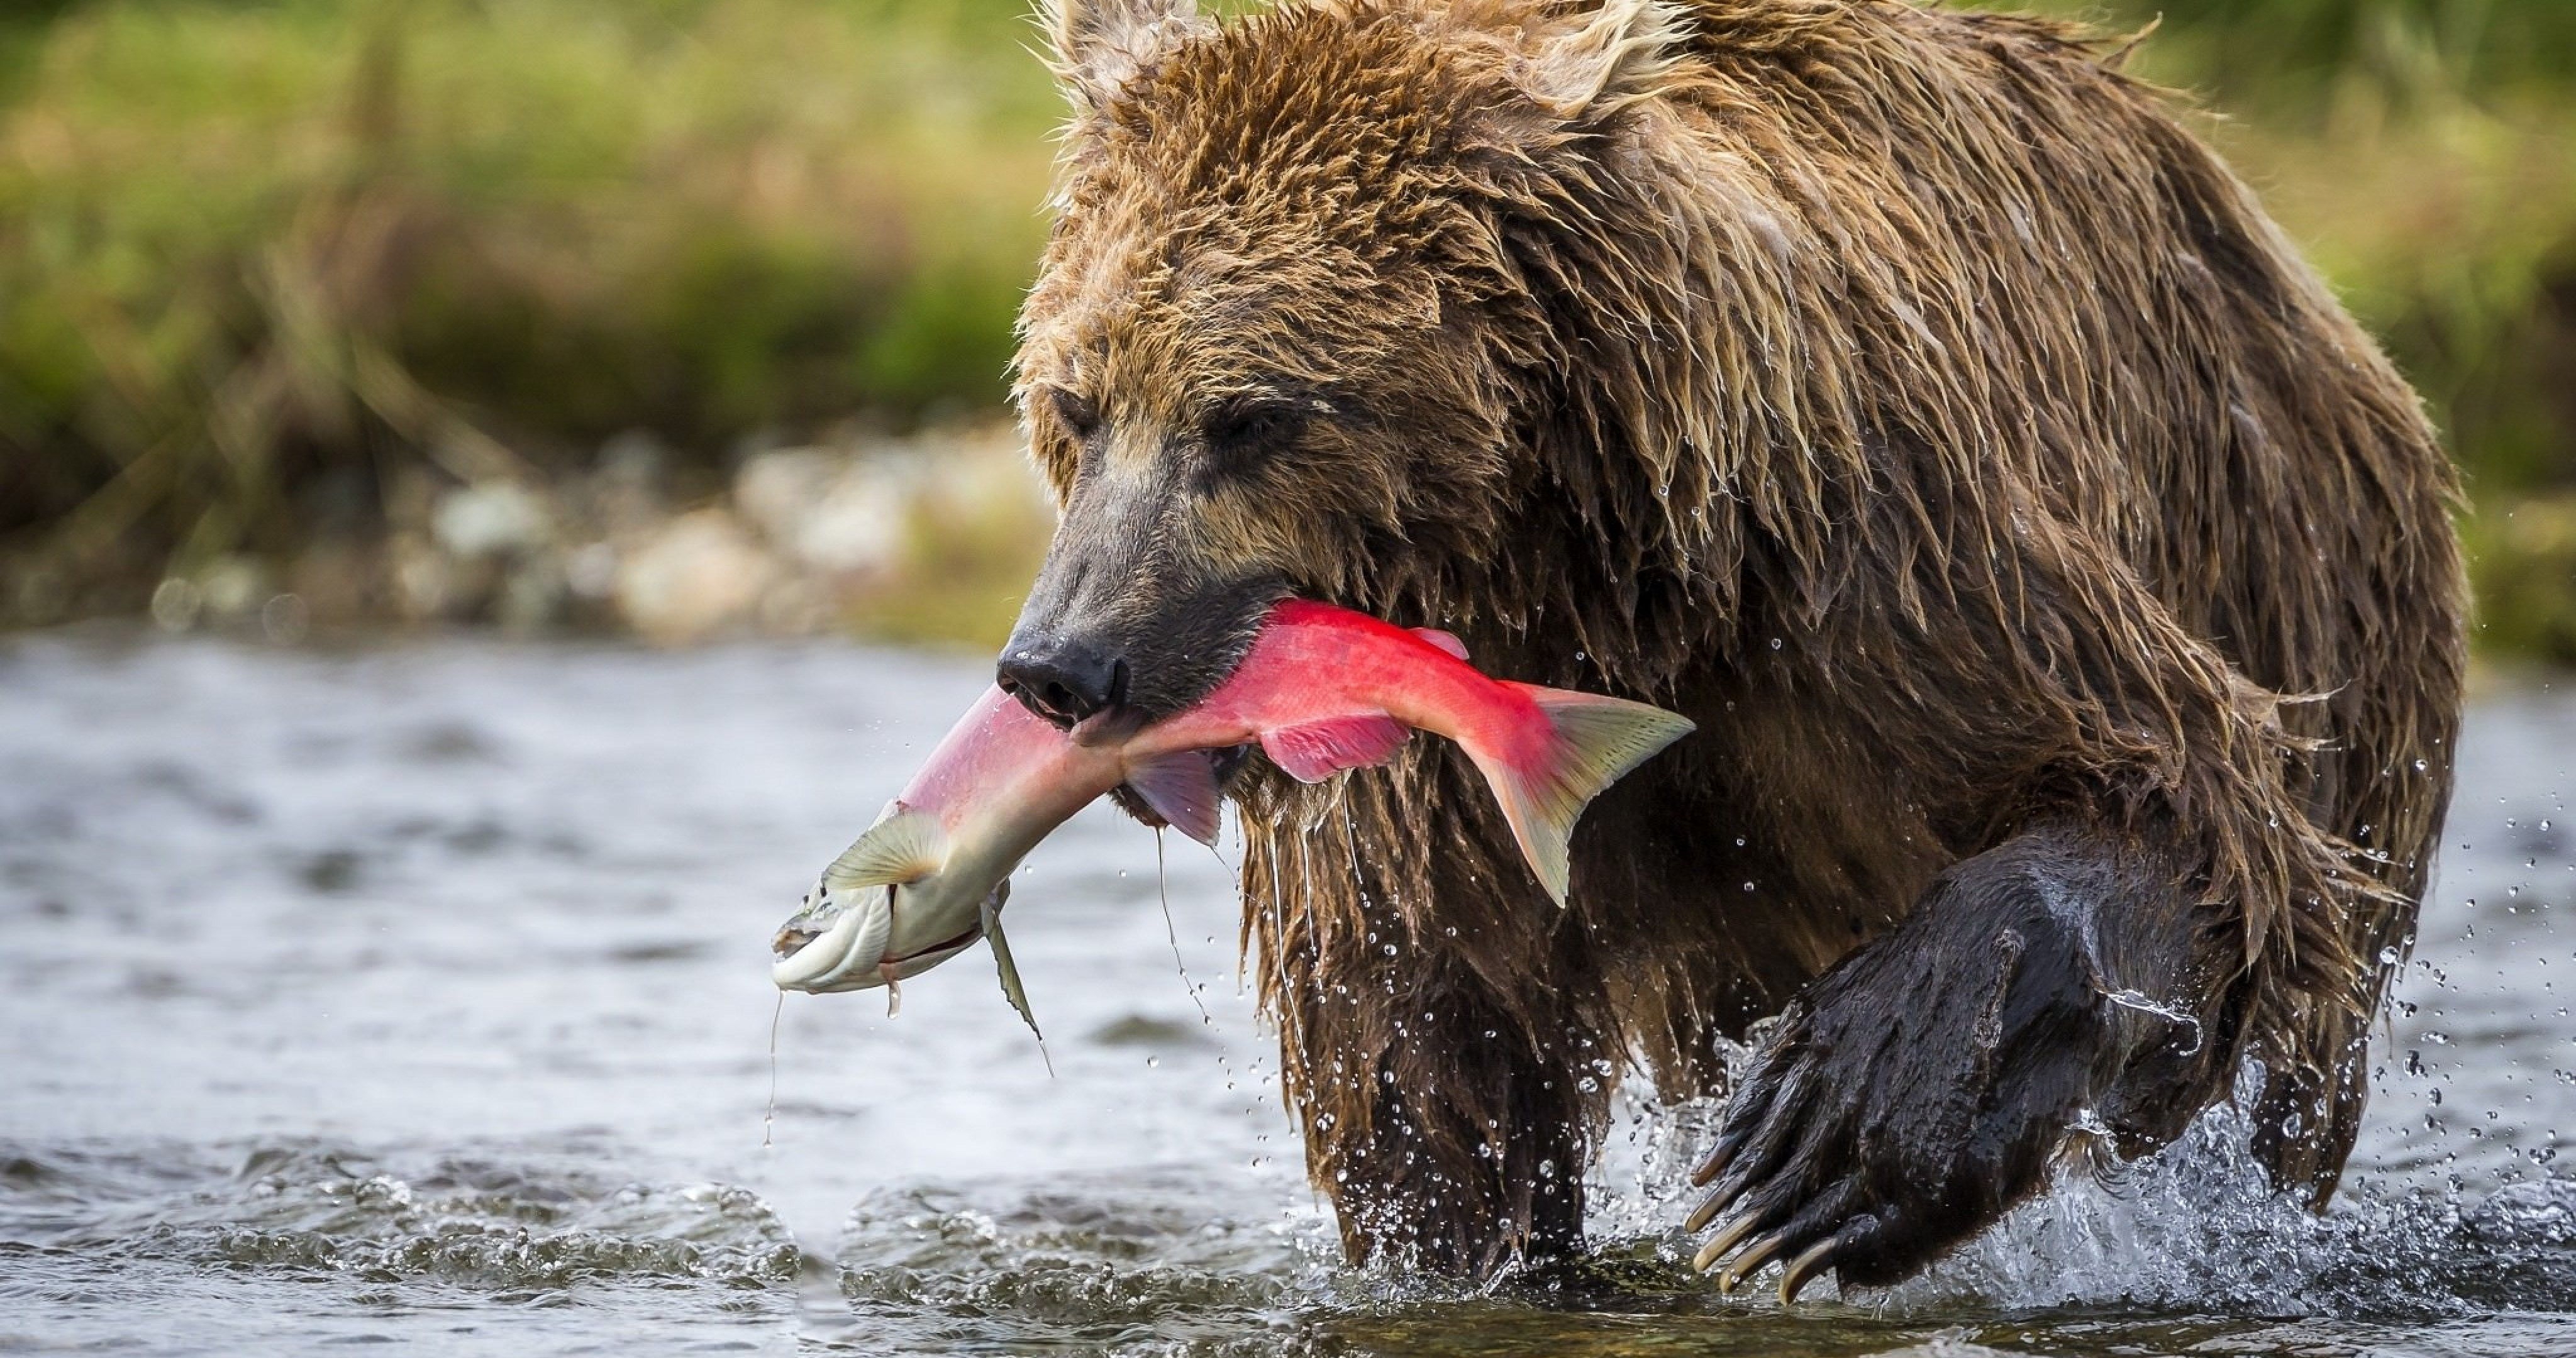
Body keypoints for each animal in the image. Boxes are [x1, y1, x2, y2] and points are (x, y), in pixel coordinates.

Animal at [994, 0, 2462, 1303]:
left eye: (1249, 417)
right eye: (1078, 399)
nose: (1067, 665)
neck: (1584, 577)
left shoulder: (1887, 575)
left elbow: (2190, 808)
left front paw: (1832, 1143)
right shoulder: (1423, 801)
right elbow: (1429, 1073)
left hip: (2317, 587)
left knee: (2290, 1068)